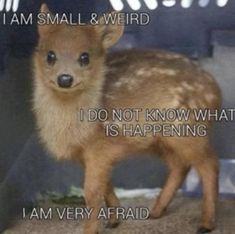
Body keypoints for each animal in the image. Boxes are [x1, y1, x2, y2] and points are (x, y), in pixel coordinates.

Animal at [33, 4, 222, 234]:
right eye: (50, 55)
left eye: (85, 57)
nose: (65, 78)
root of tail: (216, 91)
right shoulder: (90, 155)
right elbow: (106, 186)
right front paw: (115, 220)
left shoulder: (100, 148)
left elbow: (91, 192)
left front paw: (91, 229)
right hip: (160, 141)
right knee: (180, 165)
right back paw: (155, 211)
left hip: (188, 130)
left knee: (210, 164)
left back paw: (205, 223)